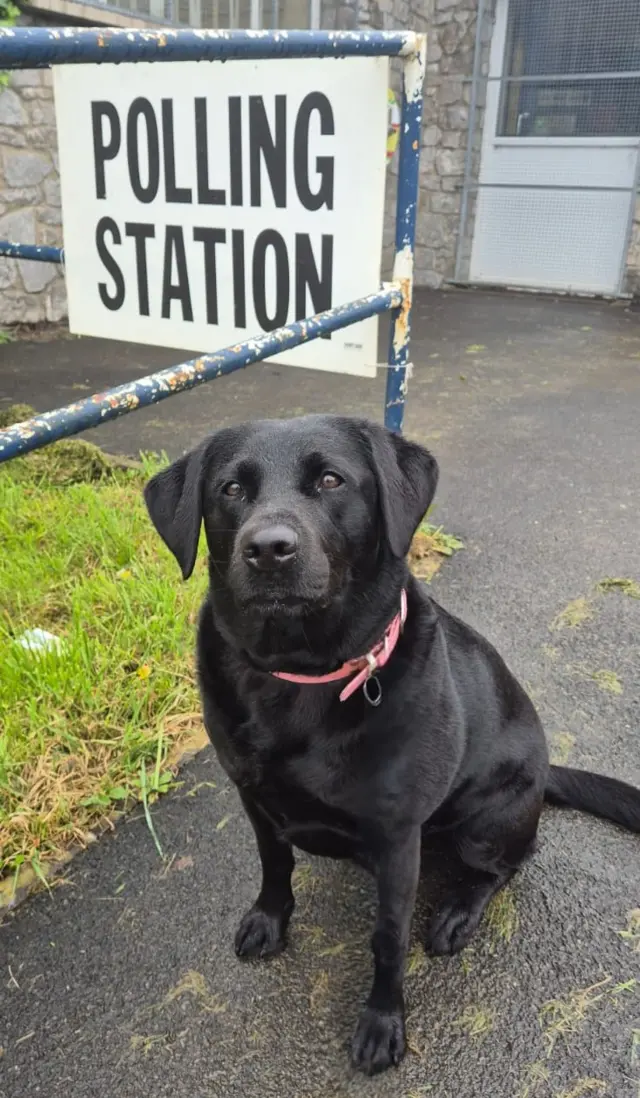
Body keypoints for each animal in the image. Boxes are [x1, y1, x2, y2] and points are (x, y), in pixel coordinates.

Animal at [144, 415, 640, 1076]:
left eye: (331, 480)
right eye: (230, 489)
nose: (269, 549)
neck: (299, 677)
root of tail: (545, 771)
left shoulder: (398, 836)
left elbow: (388, 938)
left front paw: (383, 1023)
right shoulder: (254, 797)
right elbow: (275, 865)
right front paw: (269, 919)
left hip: (486, 824)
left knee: (507, 865)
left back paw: (458, 911)